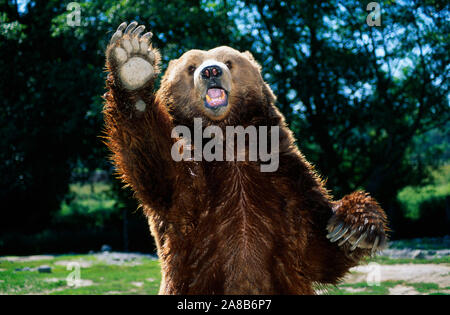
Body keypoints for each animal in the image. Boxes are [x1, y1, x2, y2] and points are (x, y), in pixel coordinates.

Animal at [102, 22, 386, 296]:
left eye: (228, 61)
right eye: (191, 66)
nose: (211, 72)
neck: (229, 139)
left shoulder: (285, 176)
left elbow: (316, 248)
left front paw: (354, 228)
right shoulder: (190, 191)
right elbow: (158, 166)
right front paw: (132, 61)